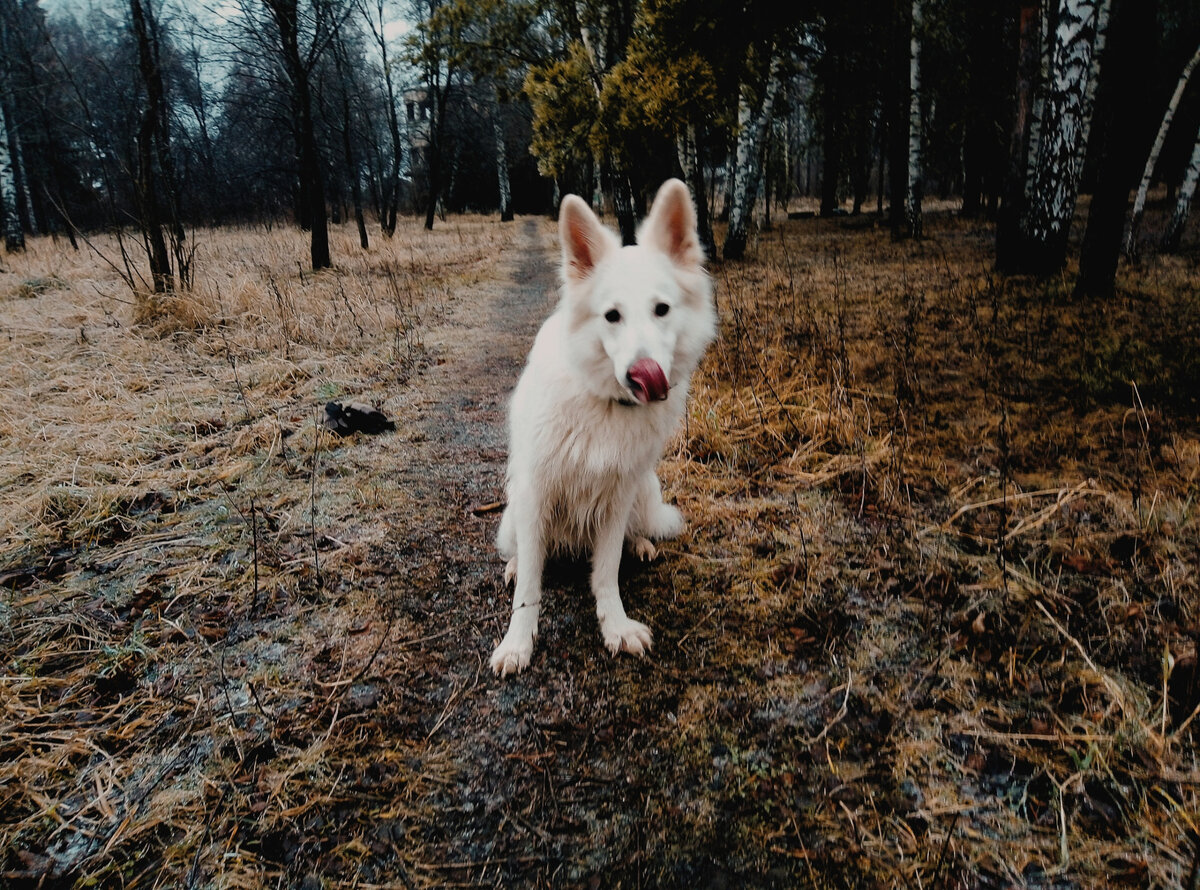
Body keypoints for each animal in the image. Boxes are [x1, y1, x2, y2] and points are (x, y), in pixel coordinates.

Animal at [489, 179, 715, 676]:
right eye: (612, 316)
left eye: (662, 309)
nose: (644, 373)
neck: (603, 403)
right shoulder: (535, 492)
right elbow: (529, 588)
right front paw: (517, 643)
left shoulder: (617, 494)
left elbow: (606, 570)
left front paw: (616, 626)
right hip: (513, 513)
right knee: (523, 555)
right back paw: (514, 565)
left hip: (645, 490)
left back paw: (642, 544)